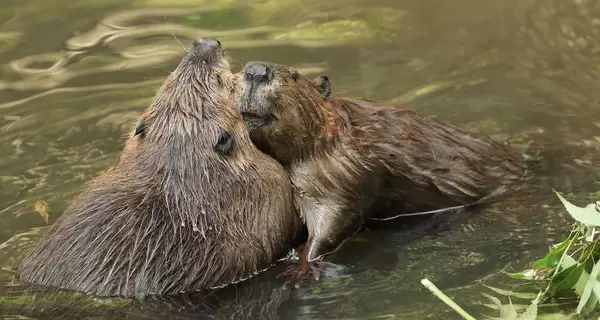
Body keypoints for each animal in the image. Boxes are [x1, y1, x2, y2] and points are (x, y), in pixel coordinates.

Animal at [234, 62, 524, 288]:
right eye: (243, 67)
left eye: (294, 74)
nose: (256, 70)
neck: (334, 134)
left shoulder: (346, 168)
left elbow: (335, 217)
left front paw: (299, 269)